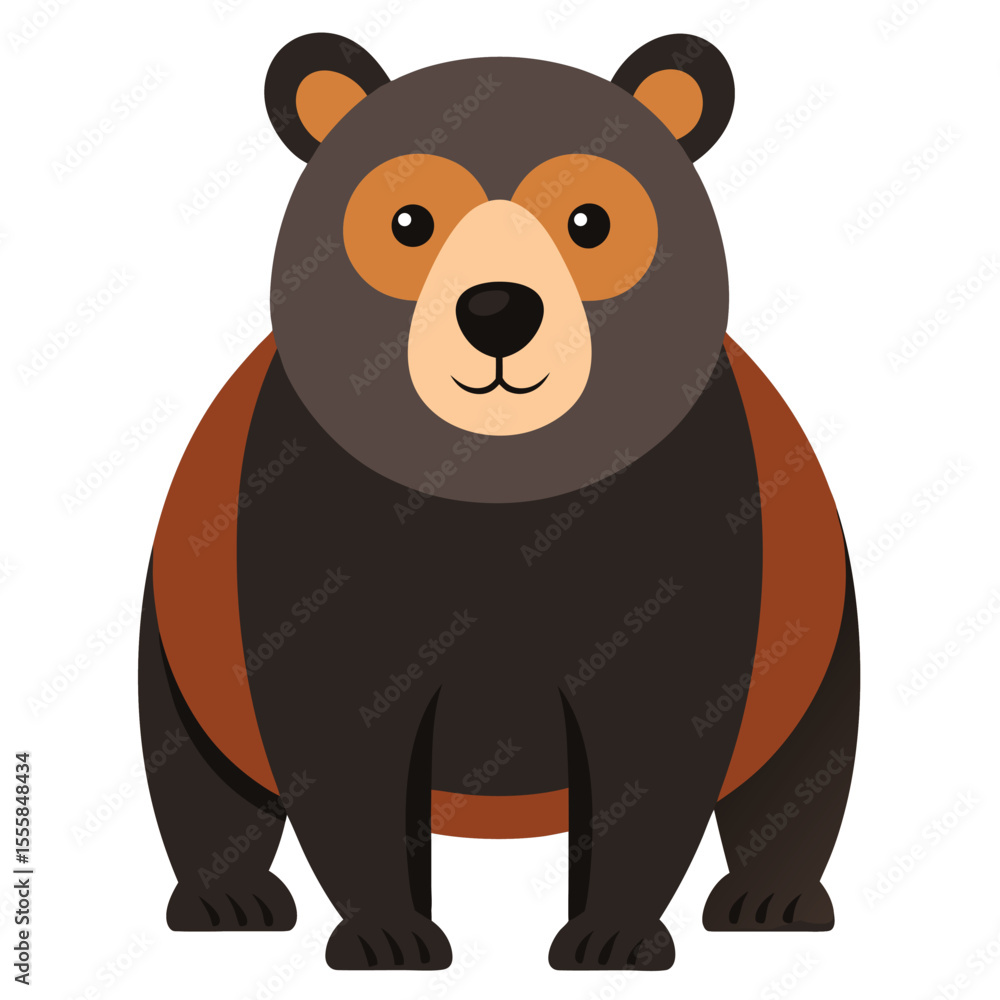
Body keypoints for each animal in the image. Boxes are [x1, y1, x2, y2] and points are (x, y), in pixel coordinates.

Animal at [138, 32, 859, 972]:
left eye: (590, 222)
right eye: (409, 222)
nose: (497, 311)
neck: (497, 482)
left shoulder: (696, 504)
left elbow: (658, 738)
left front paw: (613, 937)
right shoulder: (304, 511)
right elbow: (340, 737)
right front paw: (387, 936)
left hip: (818, 614)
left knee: (802, 756)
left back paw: (774, 901)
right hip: (181, 620)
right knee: (197, 762)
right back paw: (225, 900)